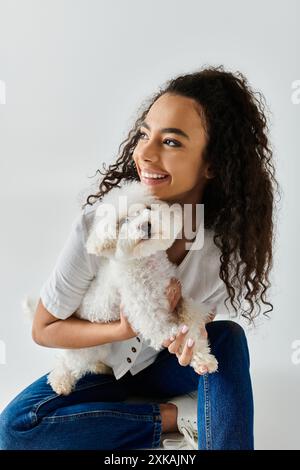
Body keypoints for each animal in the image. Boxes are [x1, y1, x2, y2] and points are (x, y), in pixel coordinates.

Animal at [22, 181, 217, 396]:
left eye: (148, 208)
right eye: (123, 221)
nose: (145, 225)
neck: (144, 262)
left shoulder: (175, 295)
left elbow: (190, 314)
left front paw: (204, 354)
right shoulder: (149, 317)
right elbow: (178, 337)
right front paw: (196, 355)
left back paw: (100, 367)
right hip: (84, 348)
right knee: (66, 363)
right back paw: (61, 382)